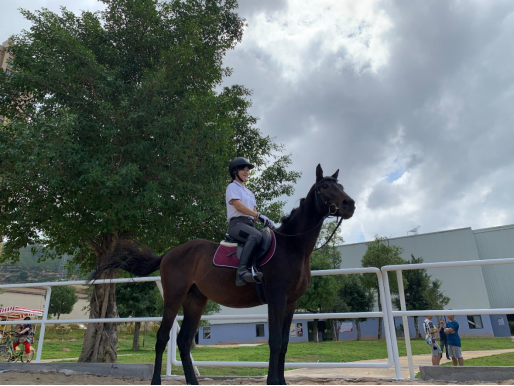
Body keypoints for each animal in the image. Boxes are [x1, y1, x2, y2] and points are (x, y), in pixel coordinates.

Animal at [89, 164, 352, 384]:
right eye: (324, 187)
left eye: (340, 186)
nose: (350, 205)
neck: (292, 247)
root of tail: (170, 253)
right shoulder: (276, 299)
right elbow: (275, 342)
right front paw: (273, 382)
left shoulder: (291, 303)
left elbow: (285, 343)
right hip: (173, 298)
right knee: (163, 338)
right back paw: (156, 381)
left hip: (195, 300)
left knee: (184, 341)